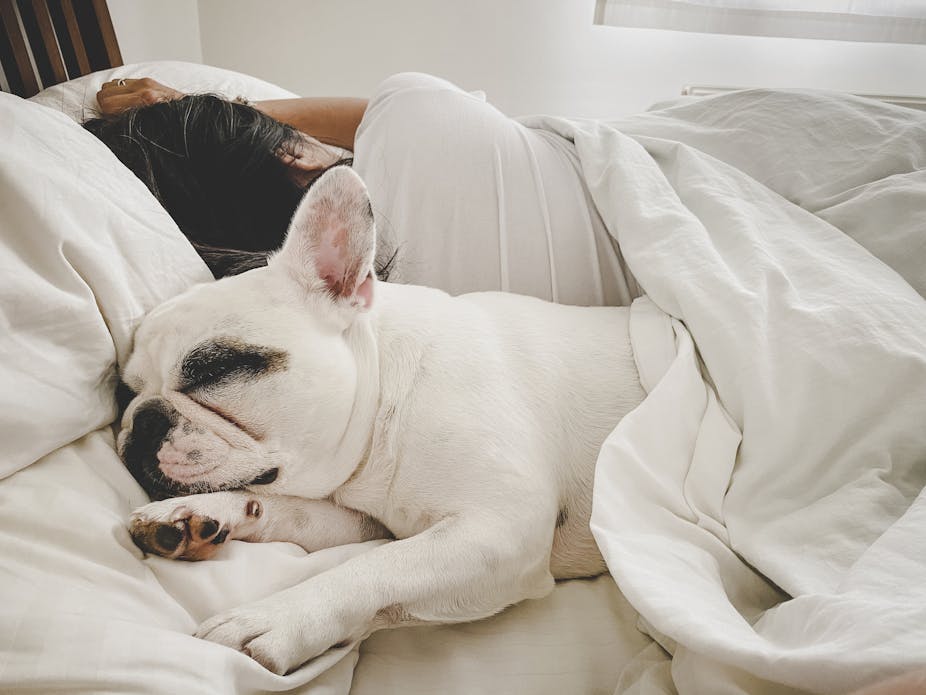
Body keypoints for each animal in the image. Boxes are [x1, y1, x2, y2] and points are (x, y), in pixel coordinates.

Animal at [118, 166, 644, 676]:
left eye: (216, 369)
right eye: (125, 390)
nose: (141, 421)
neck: (387, 405)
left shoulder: (500, 530)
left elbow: (377, 568)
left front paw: (272, 620)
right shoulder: (367, 520)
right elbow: (291, 510)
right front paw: (199, 513)